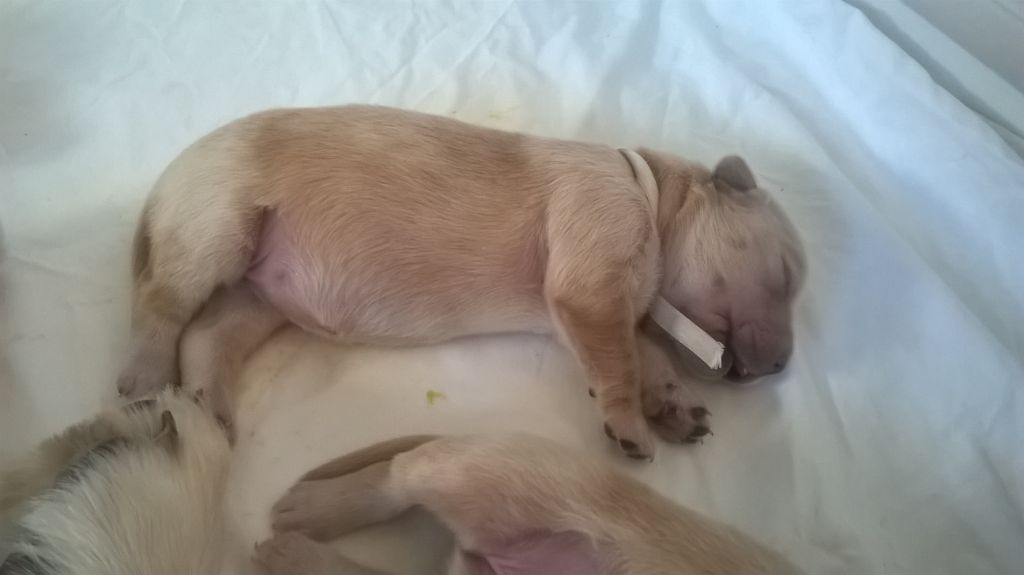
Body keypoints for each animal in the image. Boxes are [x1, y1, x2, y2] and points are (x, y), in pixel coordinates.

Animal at [116, 105, 806, 459]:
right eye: (788, 274)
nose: (782, 368)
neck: (650, 191)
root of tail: (158, 191)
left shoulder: (598, 305)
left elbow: (646, 353)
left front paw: (670, 403)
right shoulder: (592, 271)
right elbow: (621, 360)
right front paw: (631, 423)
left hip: (261, 294)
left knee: (209, 336)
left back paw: (210, 412)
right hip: (215, 226)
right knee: (159, 309)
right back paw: (144, 386)